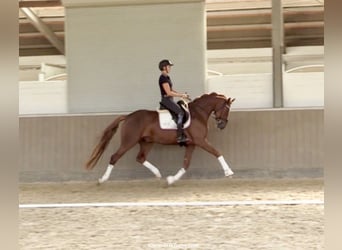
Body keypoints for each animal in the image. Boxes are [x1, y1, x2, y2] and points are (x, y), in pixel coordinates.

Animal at [85, 92, 235, 186]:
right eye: (226, 109)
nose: (222, 125)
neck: (198, 113)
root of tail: (128, 116)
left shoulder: (191, 144)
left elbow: (186, 164)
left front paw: (171, 180)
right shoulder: (201, 141)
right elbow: (217, 152)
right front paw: (229, 172)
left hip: (146, 142)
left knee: (140, 158)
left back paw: (157, 173)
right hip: (129, 141)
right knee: (114, 157)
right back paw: (102, 180)